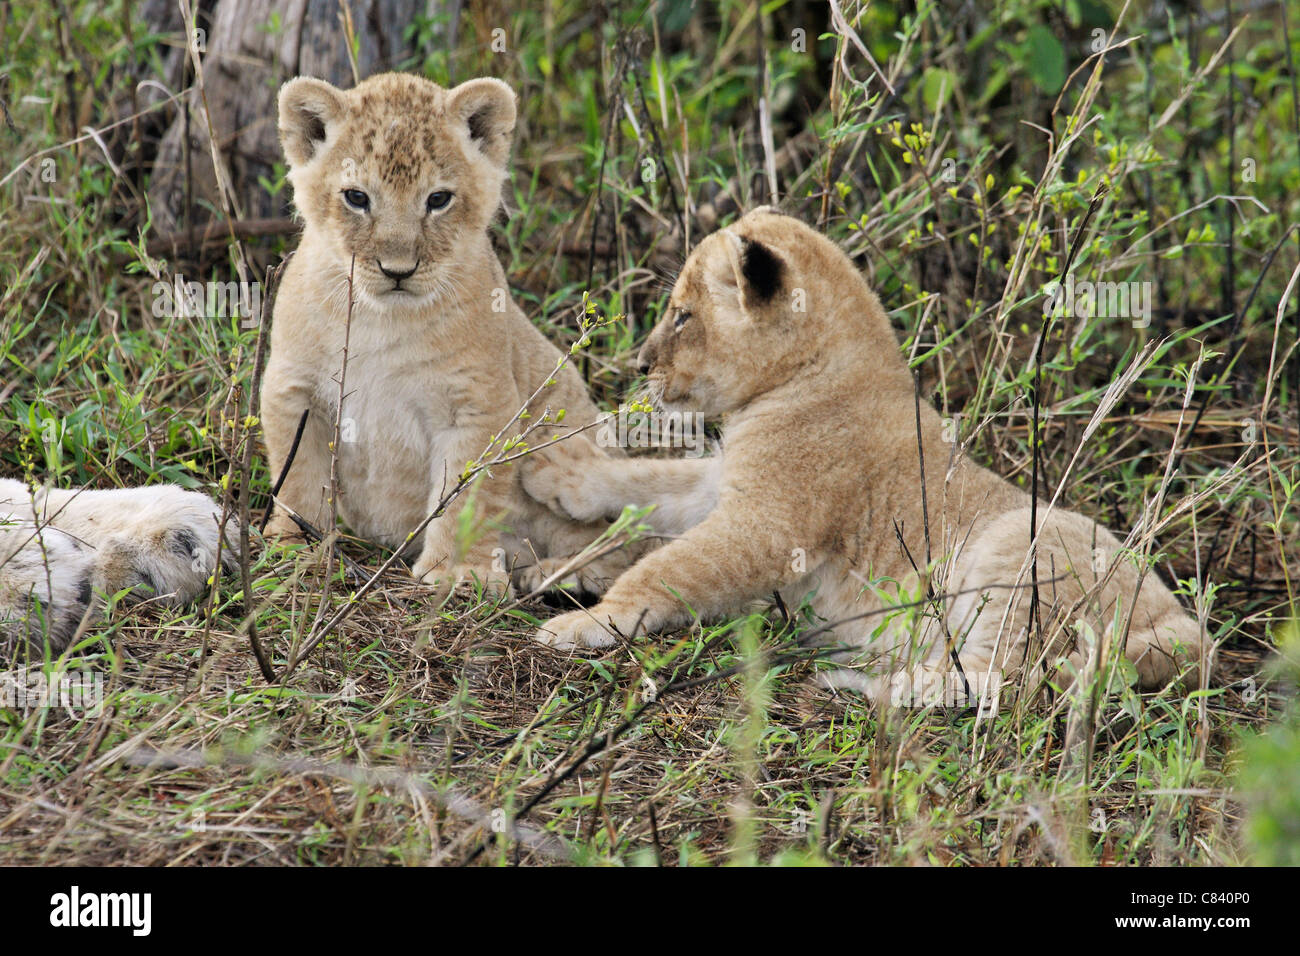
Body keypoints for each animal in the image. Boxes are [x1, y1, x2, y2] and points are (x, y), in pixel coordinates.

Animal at [262, 72, 635, 597]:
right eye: (356, 197)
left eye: (438, 200)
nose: (397, 270)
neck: (382, 319)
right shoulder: (292, 389)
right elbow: (296, 475)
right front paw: (296, 547)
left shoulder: (480, 404)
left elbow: (466, 497)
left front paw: (456, 573)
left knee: (627, 546)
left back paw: (562, 577)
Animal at [525, 208, 1207, 705]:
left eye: (683, 316)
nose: (639, 365)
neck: (800, 378)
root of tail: (1187, 631)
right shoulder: (725, 484)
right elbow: (647, 481)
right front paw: (555, 480)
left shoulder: (768, 528)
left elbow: (669, 567)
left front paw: (588, 622)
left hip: (1025, 548)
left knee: (997, 680)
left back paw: (856, 677)